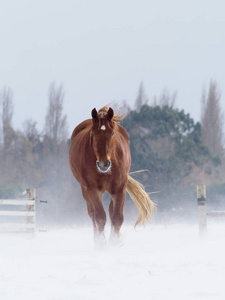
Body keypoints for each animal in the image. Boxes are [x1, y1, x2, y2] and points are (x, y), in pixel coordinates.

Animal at [69, 105, 155, 244]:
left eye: (112, 133)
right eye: (93, 134)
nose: (104, 164)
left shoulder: (119, 189)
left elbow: (117, 217)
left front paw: (115, 242)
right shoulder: (93, 189)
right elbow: (100, 217)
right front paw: (102, 244)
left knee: (110, 212)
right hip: (84, 190)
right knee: (92, 214)